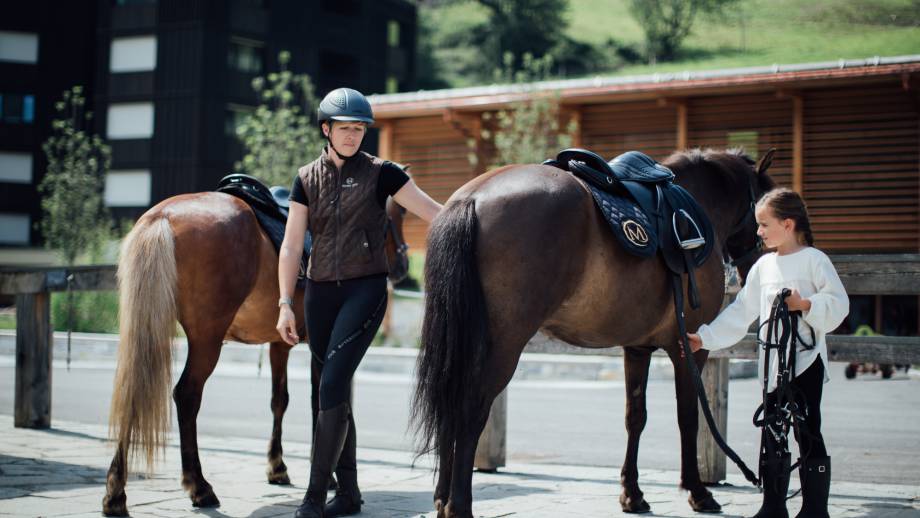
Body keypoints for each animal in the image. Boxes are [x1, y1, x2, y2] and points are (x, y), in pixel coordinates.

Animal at [99, 192, 406, 516]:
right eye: (398, 214)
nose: (402, 264)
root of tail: (163, 217)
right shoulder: (318, 345)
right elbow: (317, 401)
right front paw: (328, 477)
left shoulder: (280, 344)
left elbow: (279, 400)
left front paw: (277, 467)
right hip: (206, 341)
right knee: (186, 396)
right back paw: (199, 487)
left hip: (150, 330)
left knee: (134, 391)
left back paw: (116, 493)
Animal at [416, 148, 776, 516]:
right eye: (763, 208)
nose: (759, 266)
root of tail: (472, 198)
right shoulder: (689, 345)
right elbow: (688, 416)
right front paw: (697, 491)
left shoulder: (637, 348)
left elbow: (636, 416)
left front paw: (632, 493)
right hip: (503, 346)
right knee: (471, 409)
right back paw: (459, 505)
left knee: (450, 404)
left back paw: (442, 497)